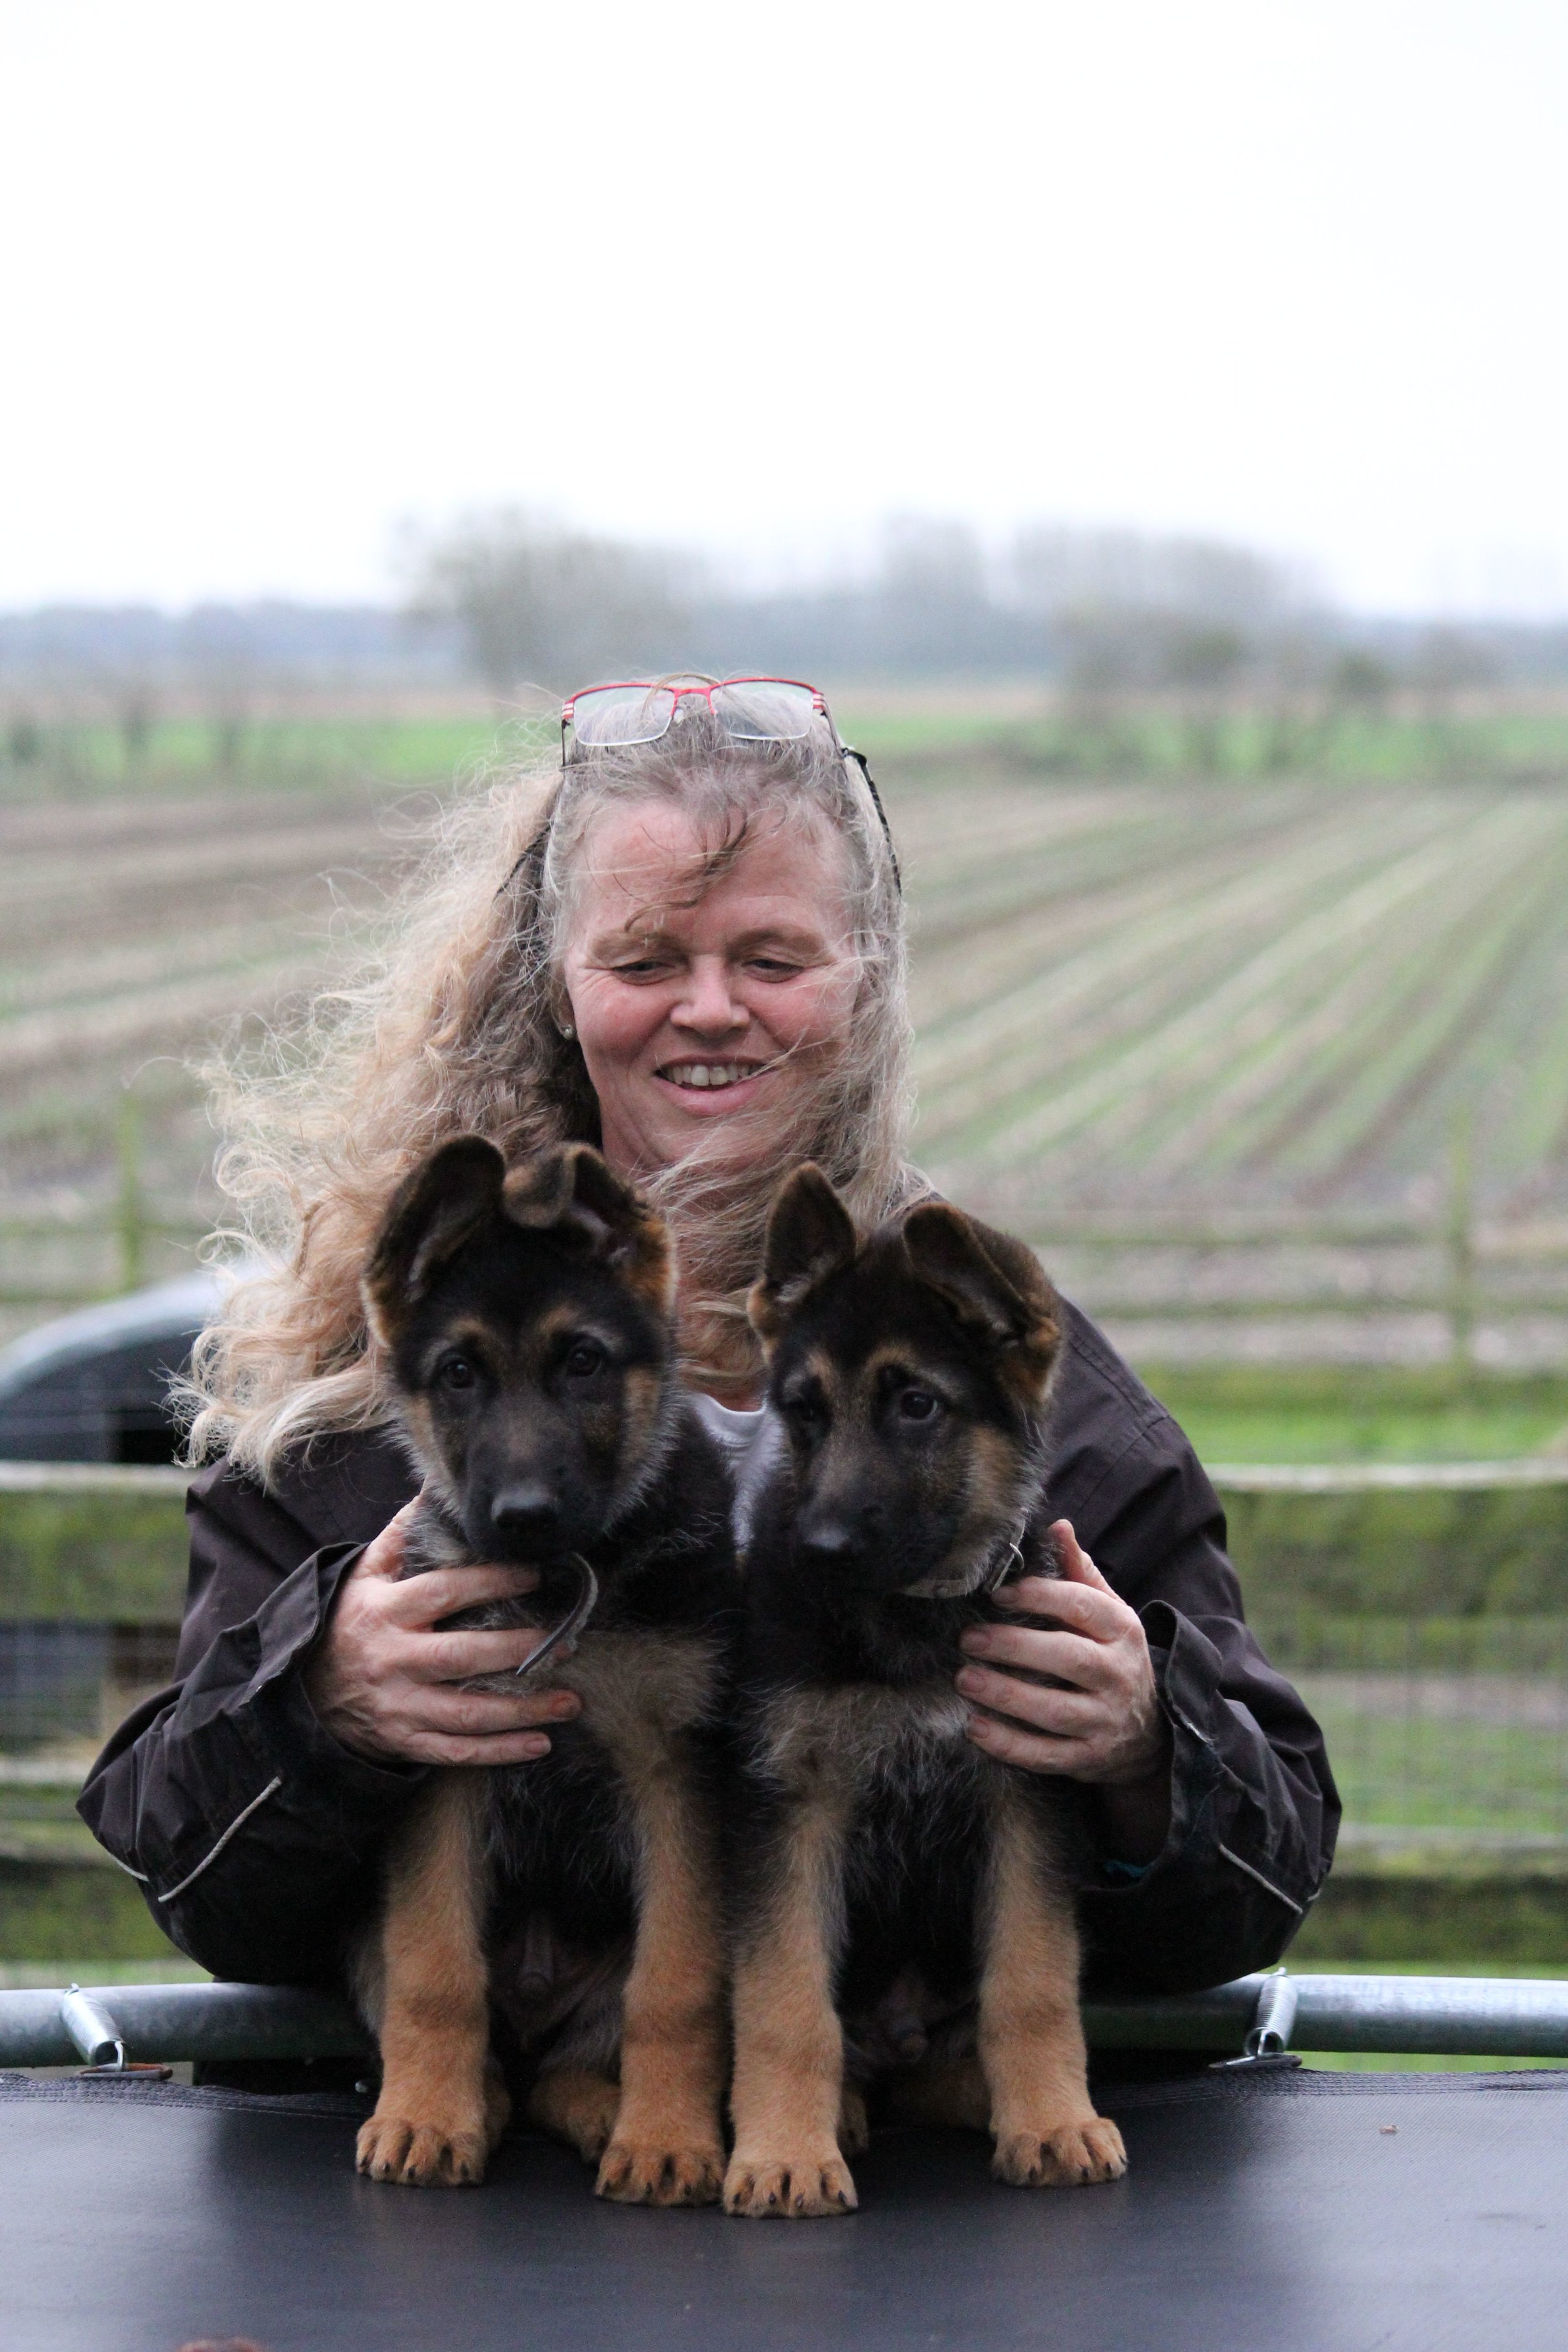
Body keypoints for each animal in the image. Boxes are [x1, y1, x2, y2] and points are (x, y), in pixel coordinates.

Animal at [354, 1138, 743, 2201]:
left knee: (569, 2067)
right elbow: (437, 1972)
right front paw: (424, 2116)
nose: (524, 1515)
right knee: (503, 2061)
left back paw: (612, 2114)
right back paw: (473, 2102)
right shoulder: (441, 1769)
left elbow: (673, 1987)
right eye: (458, 1373)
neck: (565, 1582)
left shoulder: (678, 1774)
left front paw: (667, 2138)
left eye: (583, 1361)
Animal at [724, 1171, 1128, 2220]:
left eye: (916, 1403)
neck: (914, 1620)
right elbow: (784, 1998)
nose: (821, 1550)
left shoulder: (1027, 1795)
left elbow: (1032, 1981)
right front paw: (784, 2151)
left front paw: (1053, 2121)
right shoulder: (790, 1803)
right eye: (804, 1409)